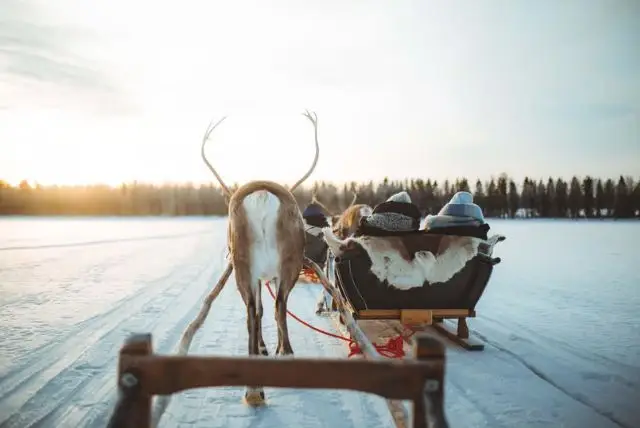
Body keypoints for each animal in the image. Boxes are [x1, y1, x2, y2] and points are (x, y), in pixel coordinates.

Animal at [200, 111, 319, 406]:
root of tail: (262, 195)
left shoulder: (261, 276)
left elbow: (262, 311)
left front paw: (267, 349)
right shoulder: (266, 276)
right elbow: (268, 310)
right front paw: (271, 348)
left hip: (248, 268)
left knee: (257, 311)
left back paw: (256, 387)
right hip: (280, 266)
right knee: (273, 307)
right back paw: (276, 366)